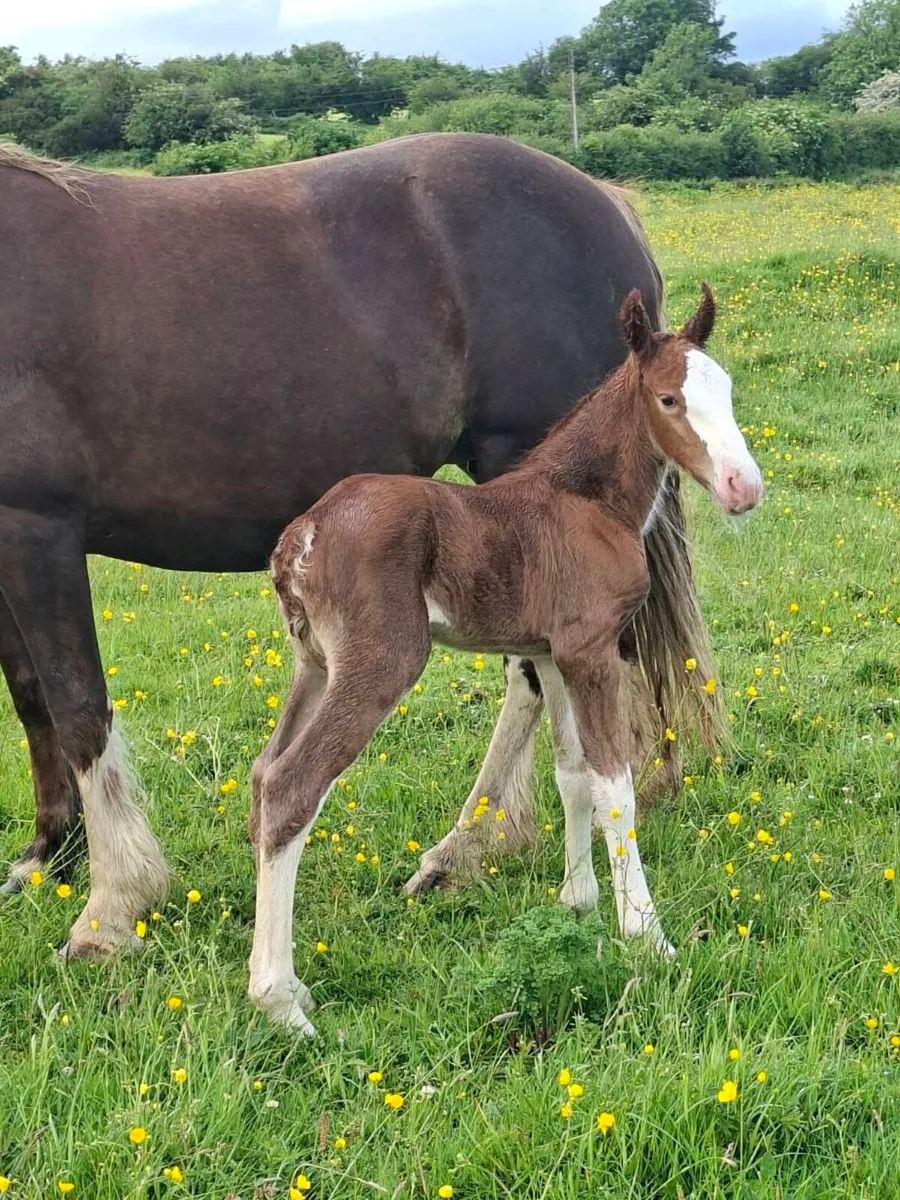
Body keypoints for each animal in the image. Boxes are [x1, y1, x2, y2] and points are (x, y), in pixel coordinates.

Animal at [0, 133, 718, 959]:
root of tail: (605, 200)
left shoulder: (37, 526)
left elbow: (78, 706)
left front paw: (111, 906)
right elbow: (31, 698)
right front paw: (46, 858)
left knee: (528, 681)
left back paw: (465, 848)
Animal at [252, 285, 763, 1032]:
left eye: (725, 390)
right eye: (670, 399)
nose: (742, 487)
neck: (586, 499)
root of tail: (303, 536)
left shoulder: (548, 655)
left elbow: (572, 774)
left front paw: (578, 900)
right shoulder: (590, 648)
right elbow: (616, 787)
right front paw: (646, 935)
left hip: (313, 667)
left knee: (265, 774)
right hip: (380, 663)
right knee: (296, 787)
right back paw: (280, 1003)